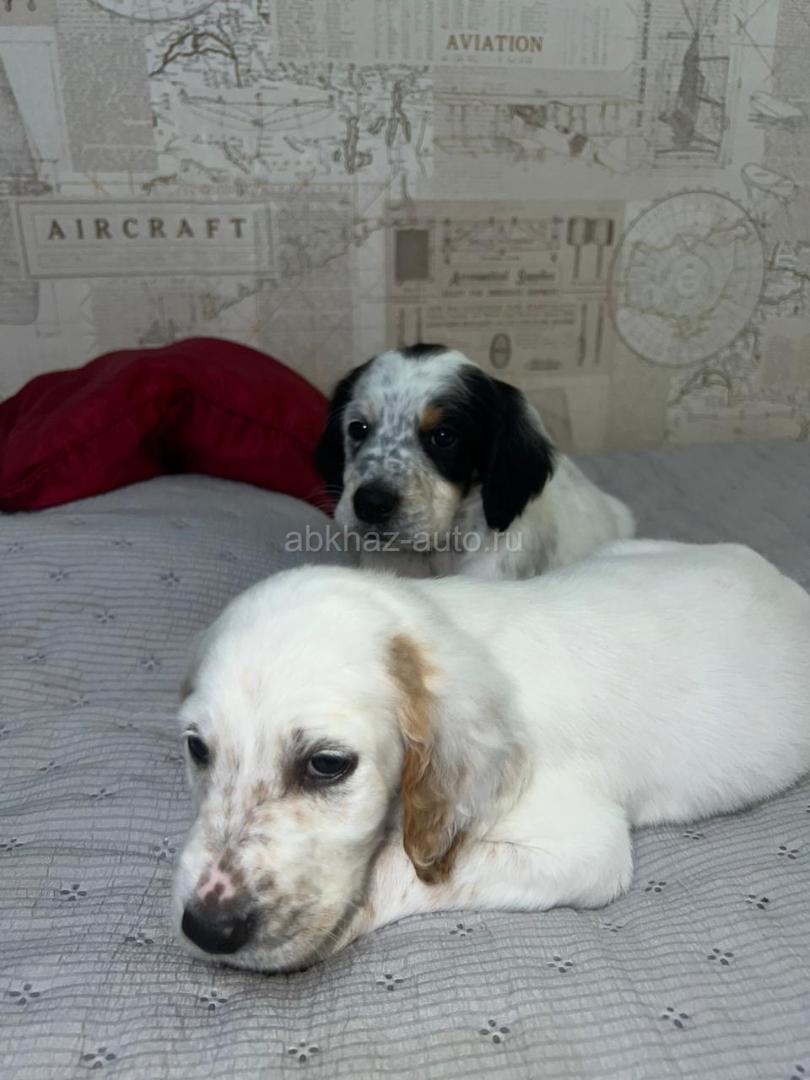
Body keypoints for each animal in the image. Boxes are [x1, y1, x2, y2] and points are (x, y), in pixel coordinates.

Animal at [172, 540, 810, 973]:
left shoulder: (588, 851)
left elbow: (411, 870)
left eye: (327, 764)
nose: (207, 929)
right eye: (197, 748)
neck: (443, 628)